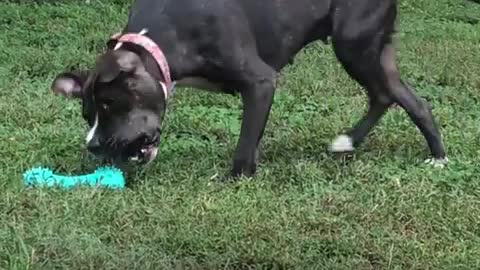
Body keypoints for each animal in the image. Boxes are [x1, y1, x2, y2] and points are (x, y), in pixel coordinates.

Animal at [50, 0, 448, 177]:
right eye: (88, 114)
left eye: (110, 103)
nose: (93, 145)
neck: (158, 42)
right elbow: (251, 138)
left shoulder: (260, 82)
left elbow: (244, 145)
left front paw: (237, 179)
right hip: (369, 50)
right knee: (401, 98)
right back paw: (354, 142)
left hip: (353, 45)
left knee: (391, 95)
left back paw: (437, 156)